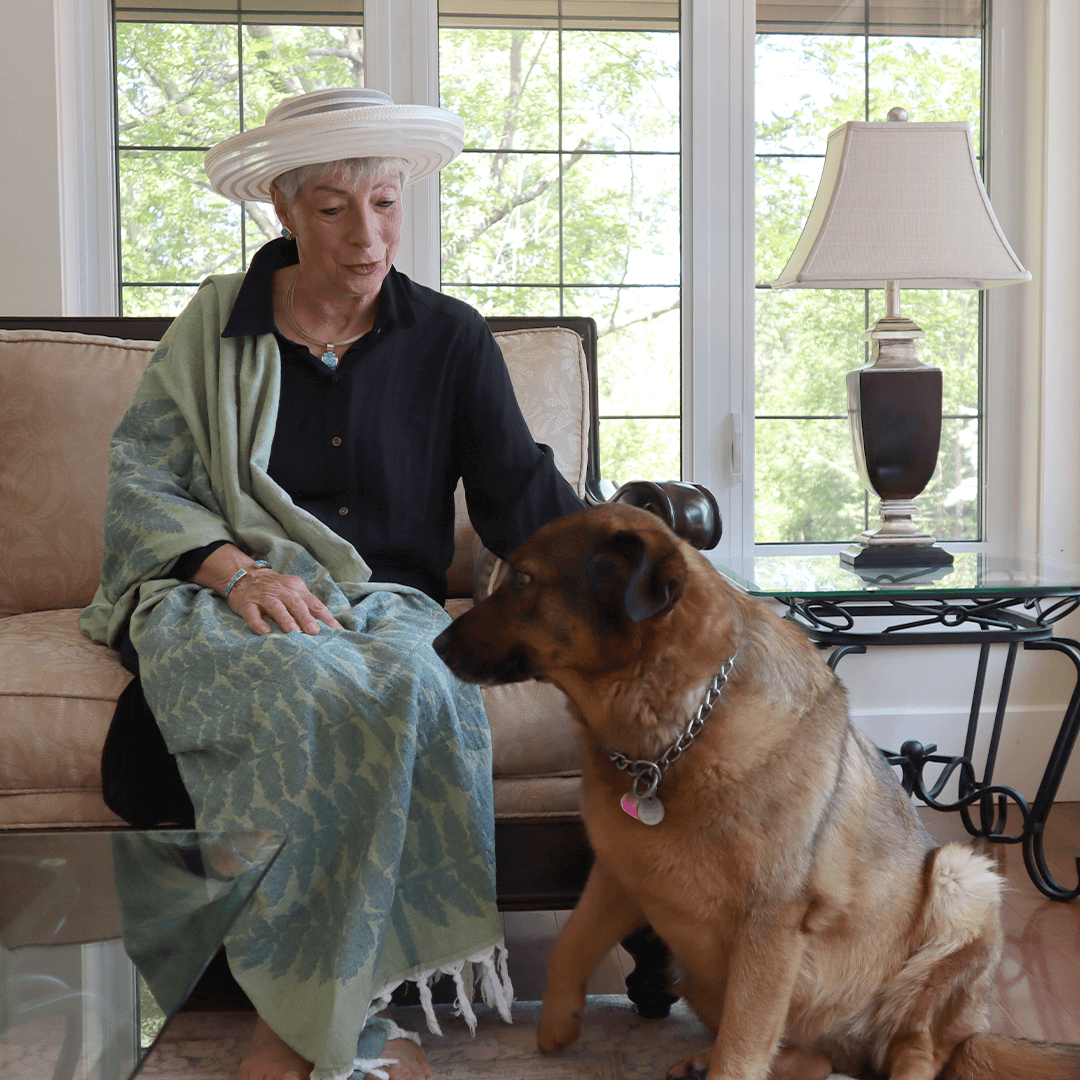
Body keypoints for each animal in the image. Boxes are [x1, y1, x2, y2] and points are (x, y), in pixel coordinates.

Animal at [434, 505, 1080, 1080]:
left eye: (522, 580)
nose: (436, 645)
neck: (670, 738)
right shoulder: (619, 878)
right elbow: (570, 944)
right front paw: (557, 1023)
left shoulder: (770, 927)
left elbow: (743, 1051)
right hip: (700, 975)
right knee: (813, 1062)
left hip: (960, 878)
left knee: (917, 1053)